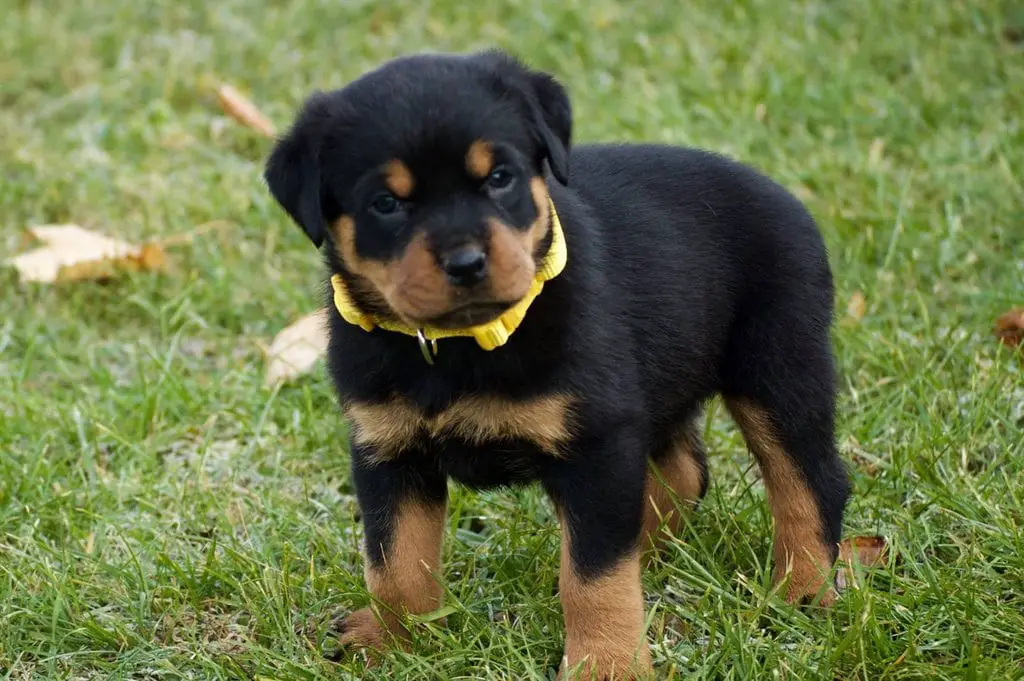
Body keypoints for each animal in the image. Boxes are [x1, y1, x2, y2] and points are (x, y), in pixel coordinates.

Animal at [264, 49, 847, 679]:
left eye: (500, 177)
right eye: (385, 204)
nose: (466, 263)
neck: (464, 343)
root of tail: (784, 196)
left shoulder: (598, 443)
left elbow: (594, 575)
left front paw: (605, 663)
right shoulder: (388, 449)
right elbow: (394, 561)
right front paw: (392, 642)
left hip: (778, 366)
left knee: (809, 481)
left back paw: (803, 591)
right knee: (685, 471)